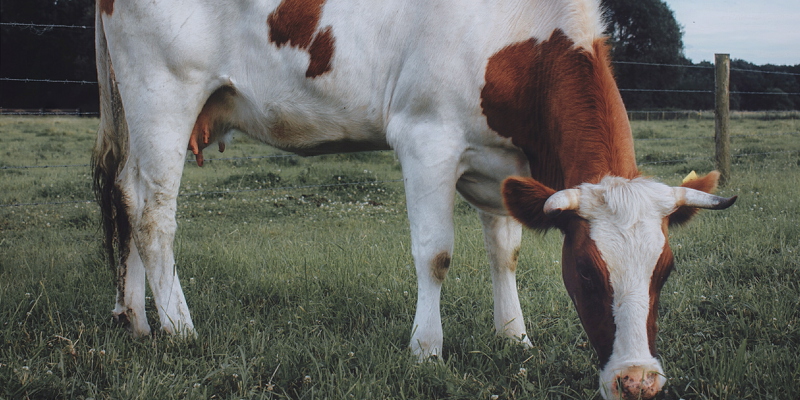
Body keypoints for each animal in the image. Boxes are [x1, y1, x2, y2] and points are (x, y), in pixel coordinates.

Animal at [90, 0, 736, 396]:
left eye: (666, 271)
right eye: (584, 269)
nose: (638, 381)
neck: (513, 36)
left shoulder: (502, 165)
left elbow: (504, 252)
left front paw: (514, 337)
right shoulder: (427, 139)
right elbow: (436, 255)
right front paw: (427, 349)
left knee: (126, 196)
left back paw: (136, 320)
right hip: (163, 94)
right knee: (155, 215)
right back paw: (179, 329)